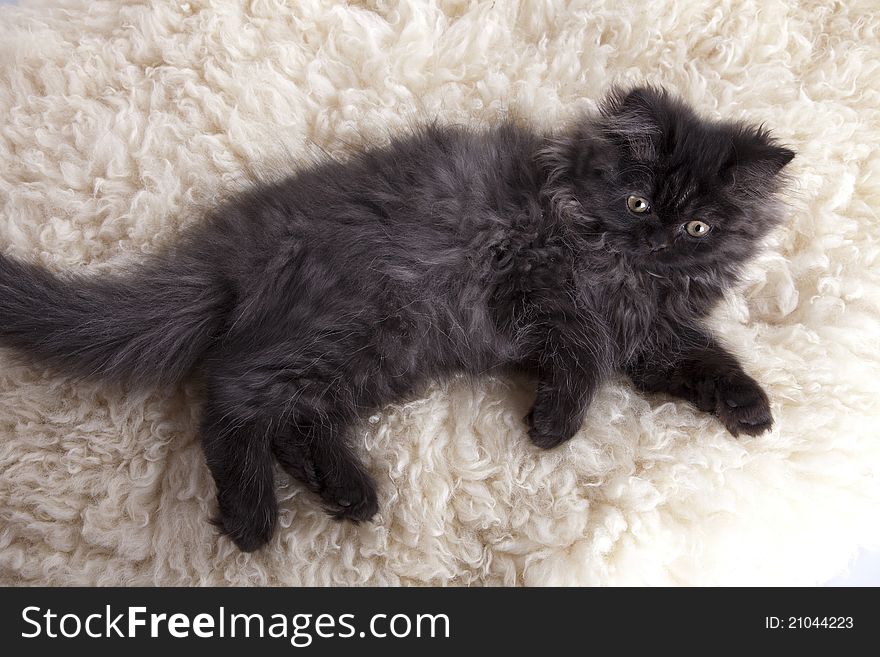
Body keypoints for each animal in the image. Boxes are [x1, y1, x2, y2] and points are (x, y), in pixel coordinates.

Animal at [0, 86, 796, 548]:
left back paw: (345, 490)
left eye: (697, 227)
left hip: (384, 352)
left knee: (293, 418)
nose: (658, 237)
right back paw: (254, 518)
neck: (625, 273)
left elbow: (702, 356)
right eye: (637, 202)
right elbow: (582, 351)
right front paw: (554, 423)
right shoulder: (535, 289)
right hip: (361, 322)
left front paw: (751, 407)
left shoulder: (649, 335)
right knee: (231, 392)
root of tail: (236, 246)